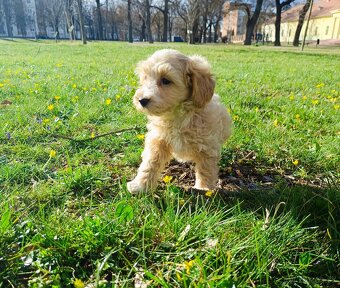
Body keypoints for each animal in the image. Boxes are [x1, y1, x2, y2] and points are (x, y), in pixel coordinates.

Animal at [126, 49, 232, 194]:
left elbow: (205, 169)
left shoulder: (207, 147)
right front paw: (140, 185)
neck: (177, 115)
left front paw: (204, 189)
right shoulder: (158, 139)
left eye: (165, 80)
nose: (141, 100)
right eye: (145, 78)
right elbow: (150, 162)